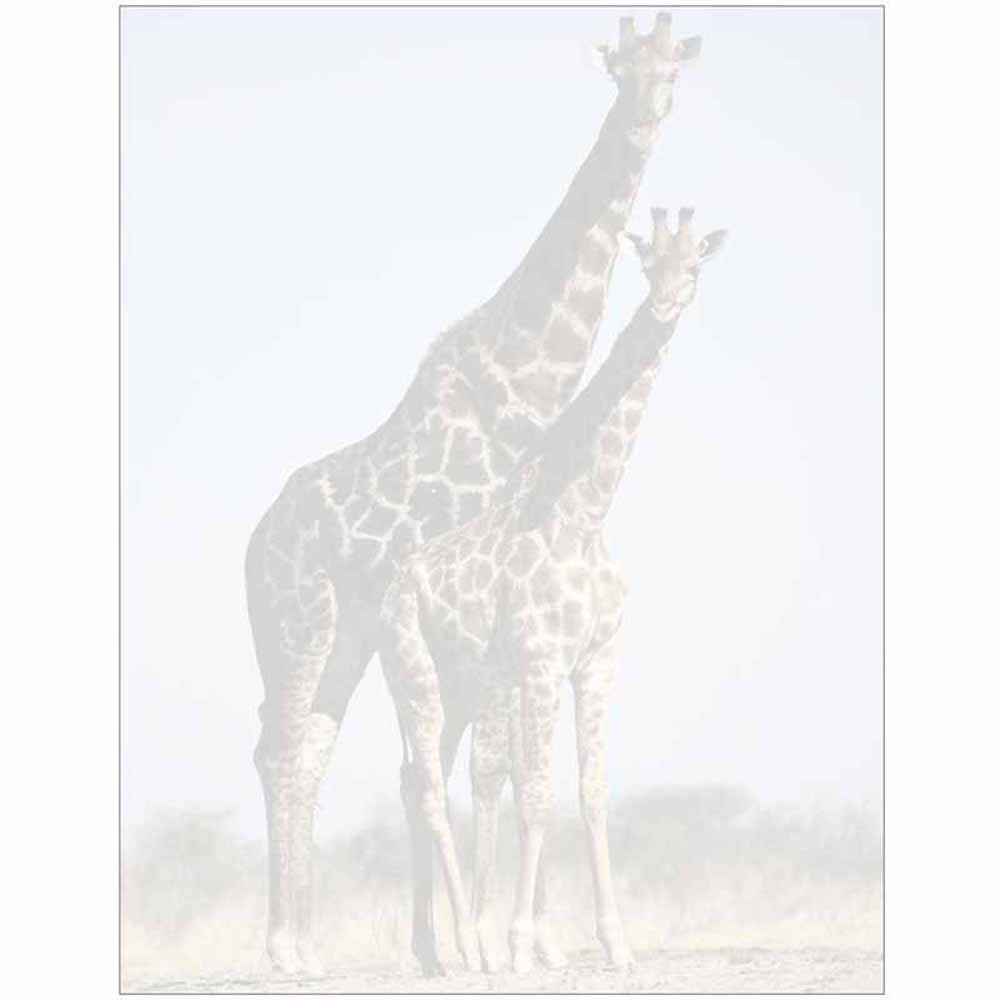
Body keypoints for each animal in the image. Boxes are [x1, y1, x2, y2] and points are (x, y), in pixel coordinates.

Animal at [378, 206, 727, 973]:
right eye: (646, 262)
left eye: (694, 265)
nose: (664, 308)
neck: (586, 509)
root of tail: (390, 591)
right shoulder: (540, 661)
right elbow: (536, 795)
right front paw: (516, 947)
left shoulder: (596, 660)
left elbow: (591, 791)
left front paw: (615, 944)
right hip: (414, 671)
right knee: (431, 789)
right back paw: (470, 946)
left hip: (460, 684)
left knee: (418, 780)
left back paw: (431, 950)